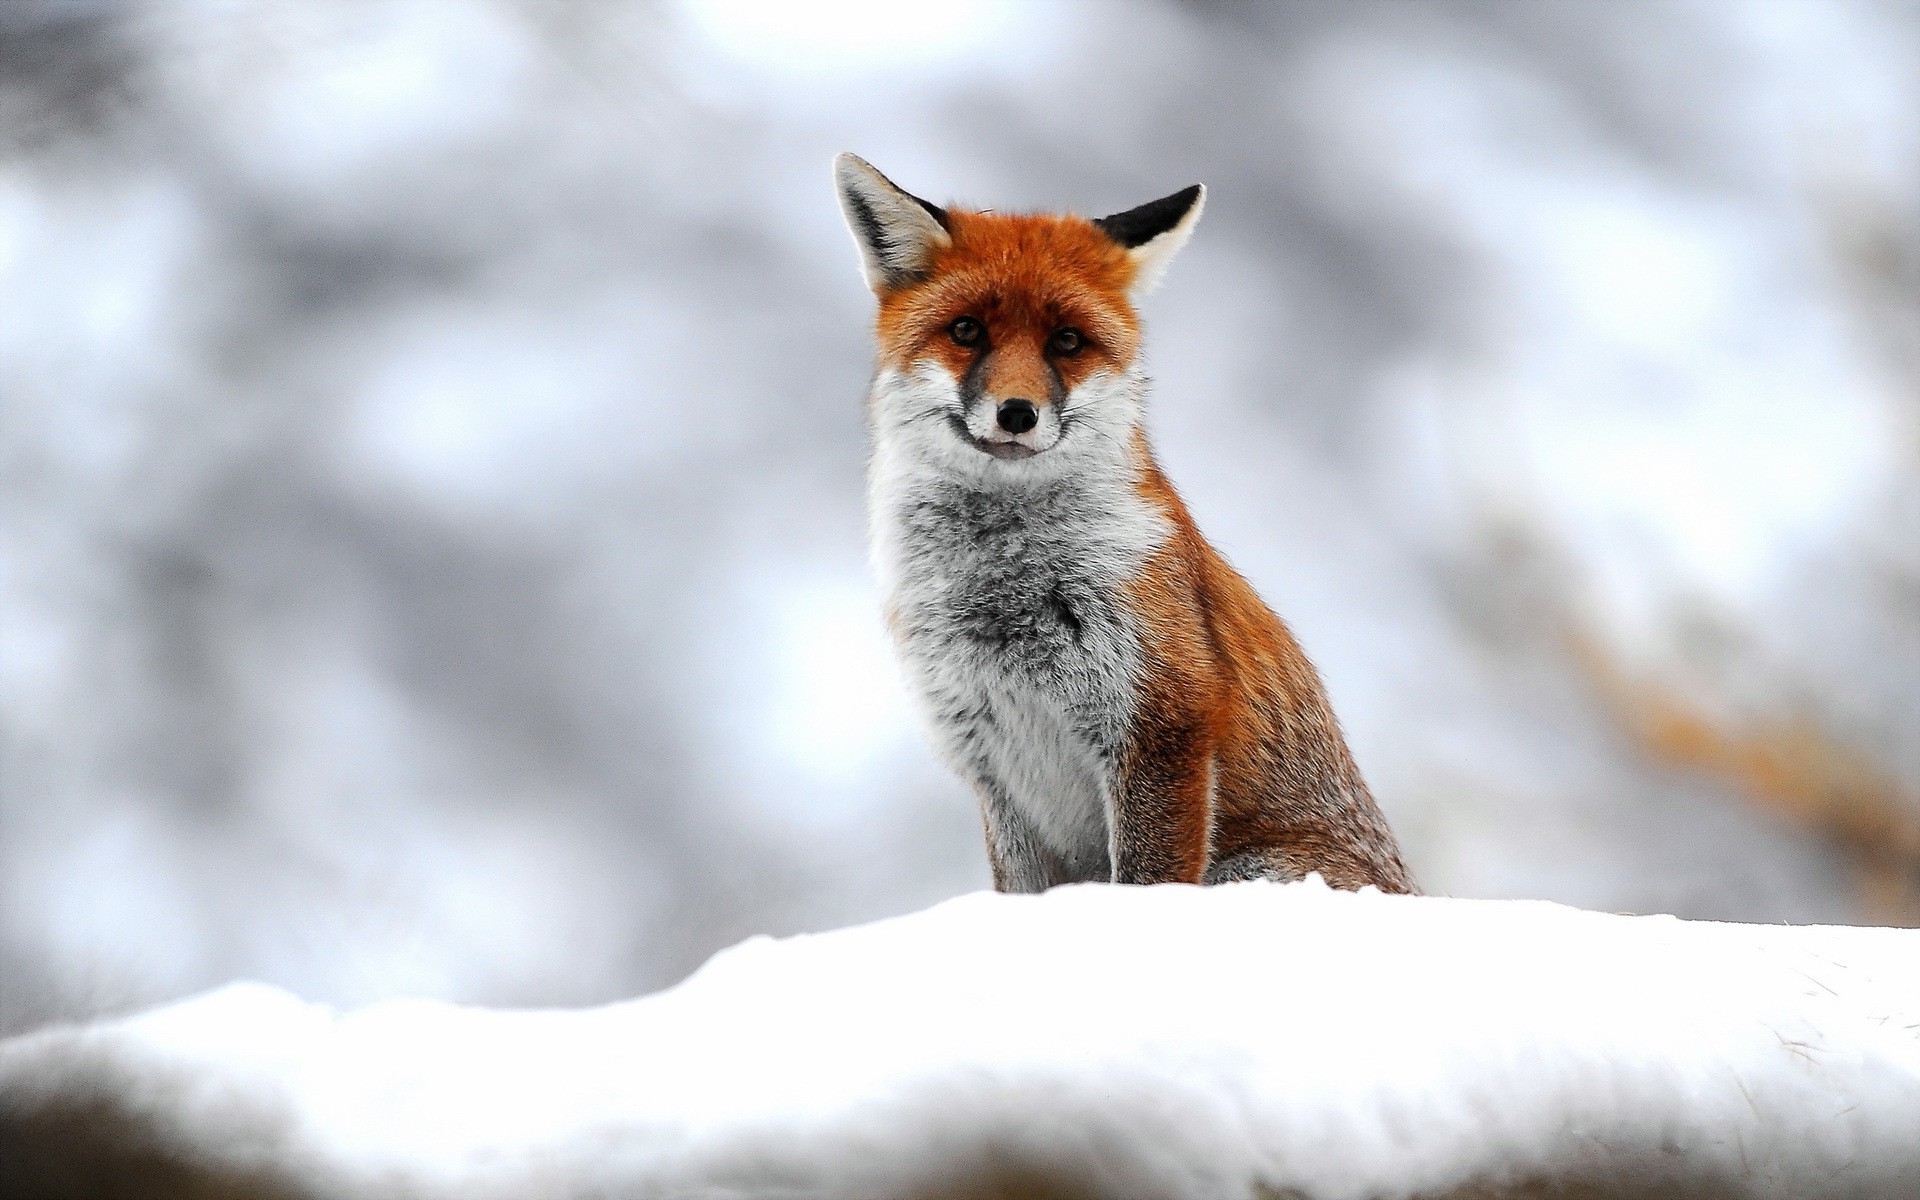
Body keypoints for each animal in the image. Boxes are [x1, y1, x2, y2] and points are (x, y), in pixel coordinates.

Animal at [833, 151, 1420, 890]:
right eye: (967, 331)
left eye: (1066, 341)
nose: (1017, 413)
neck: (1002, 590)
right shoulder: (994, 767)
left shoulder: (1160, 721)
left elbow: (1146, 878)